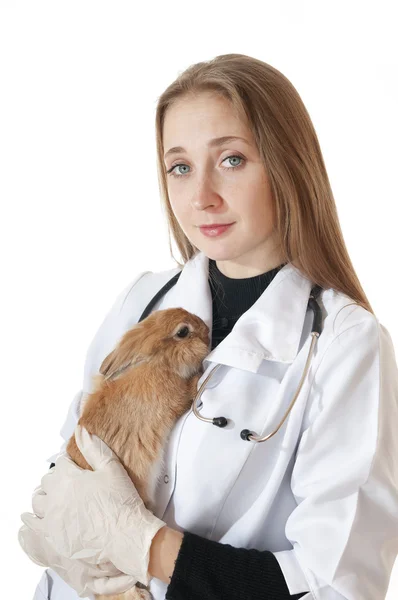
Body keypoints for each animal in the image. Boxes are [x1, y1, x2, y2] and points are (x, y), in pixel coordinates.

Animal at [65, 310, 210, 600]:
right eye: (183, 332)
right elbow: (189, 391)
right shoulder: (176, 394)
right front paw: (200, 376)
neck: (156, 360)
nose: (208, 330)